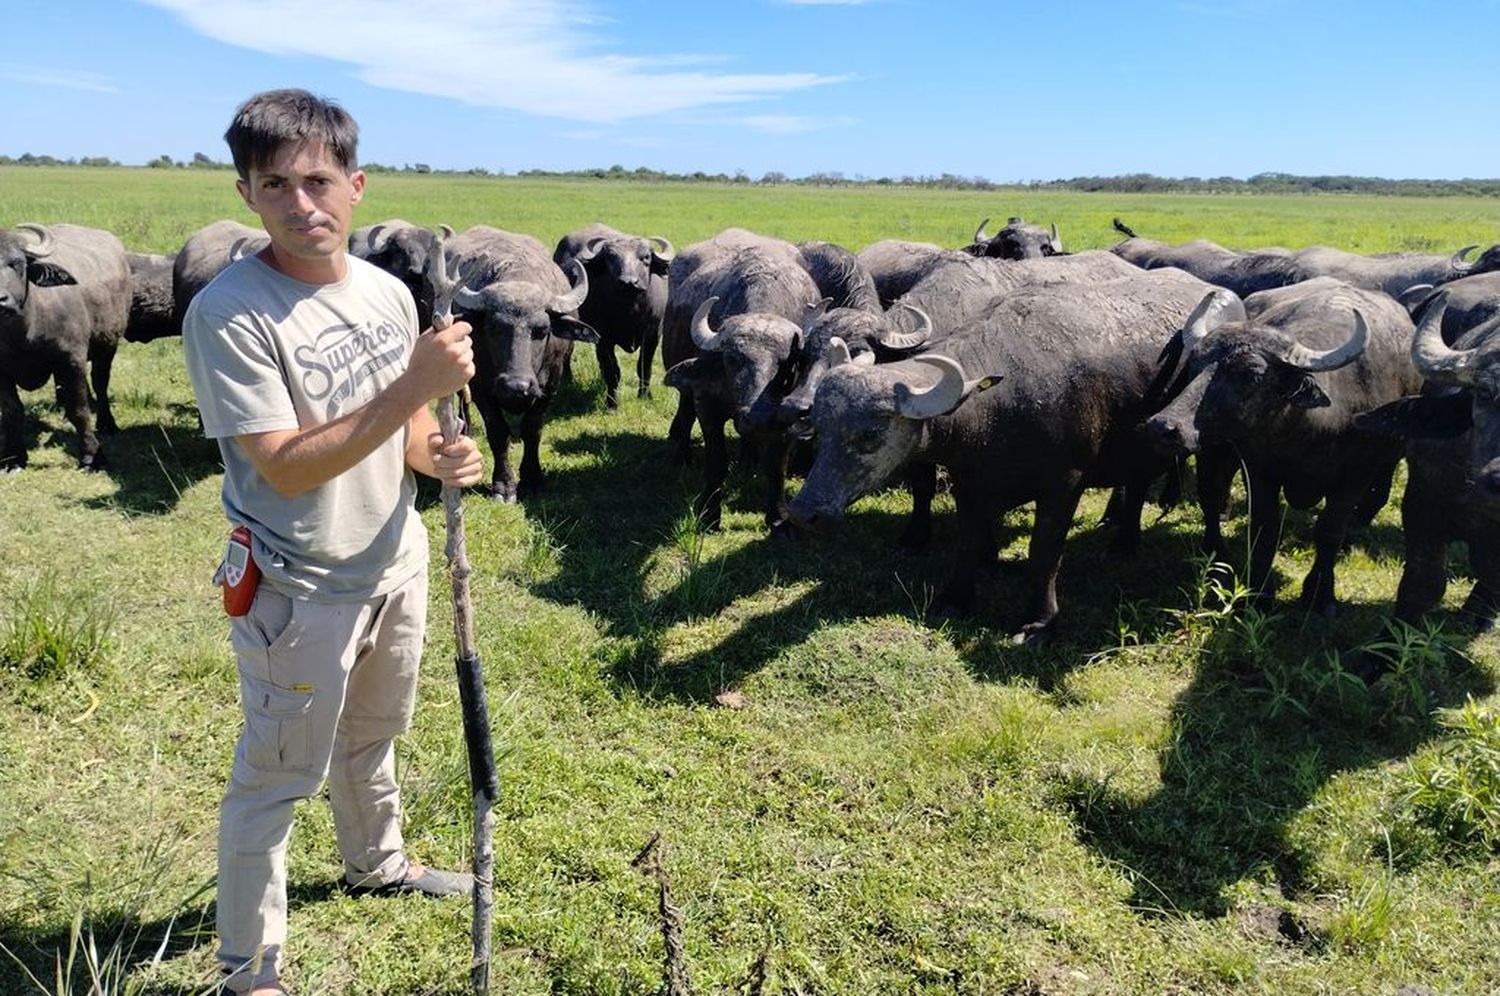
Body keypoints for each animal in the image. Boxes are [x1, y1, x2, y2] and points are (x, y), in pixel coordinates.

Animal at [0, 223, 132, 474]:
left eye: (17, 263)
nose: (1, 300)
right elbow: (12, 411)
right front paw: (15, 458)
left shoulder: (71, 359)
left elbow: (79, 410)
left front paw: (92, 457)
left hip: (108, 345)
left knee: (100, 384)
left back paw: (107, 423)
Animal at [444, 228, 597, 501]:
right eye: (493, 327)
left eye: (543, 330)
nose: (517, 386)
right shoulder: (482, 388)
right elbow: (498, 433)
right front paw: (504, 486)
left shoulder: (549, 387)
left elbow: (532, 430)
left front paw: (533, 479)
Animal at [555, 223, 672, 411]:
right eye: (610, 258)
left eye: (646, 257)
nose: (629, 282)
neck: (630, 311)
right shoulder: (603, 338)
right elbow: (612, 371)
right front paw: (611, 403)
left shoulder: (653, 333)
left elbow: (644, 366)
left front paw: (645, 396)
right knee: (568, 350)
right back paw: (567, 378)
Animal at [1146, 277, 1416, 615]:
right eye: (1195, 365)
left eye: (1251, 374)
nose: (1164, 426)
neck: (1307, 434)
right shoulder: (1259, 470)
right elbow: (1266, 527)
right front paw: (1259, 592)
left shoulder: (1355, 475)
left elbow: (1329, 530)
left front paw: (1320, 594)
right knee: (1213, 492)